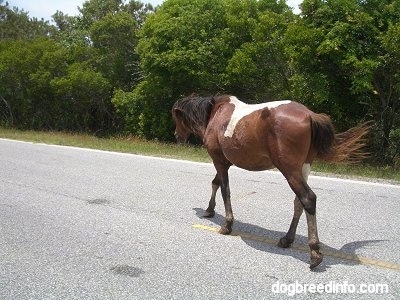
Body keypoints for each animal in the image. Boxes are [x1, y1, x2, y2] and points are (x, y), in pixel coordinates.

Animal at [171, 95, 368, 268]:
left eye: (176, 118)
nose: (177, 135)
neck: (216, 114)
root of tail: (310, 115)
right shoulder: (224, 163)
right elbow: (215, 183)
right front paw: (209, 209)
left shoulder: (219, 161)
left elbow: (224, 190)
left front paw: (227, 224)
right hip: (303, 168)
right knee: (299, 202)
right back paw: (287, 239)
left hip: (290, 170)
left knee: (308, 199)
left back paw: (314, 252)